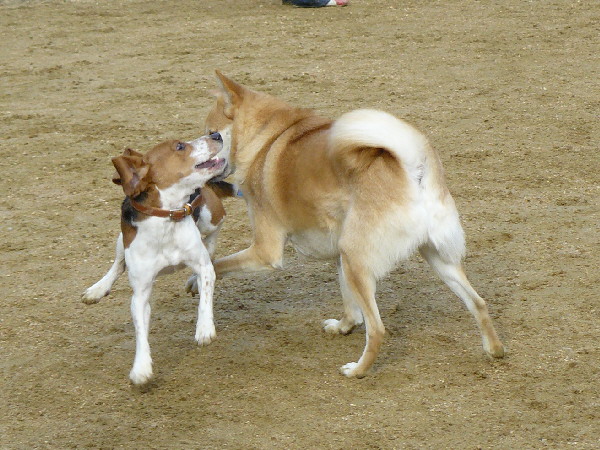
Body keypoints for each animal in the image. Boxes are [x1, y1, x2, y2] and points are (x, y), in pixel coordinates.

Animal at [82, 134, 229, 385]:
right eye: (179, 146)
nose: (216, 134)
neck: (167, 219)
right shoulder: (140, 294)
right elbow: (141, 331)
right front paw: (141, 368)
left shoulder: (204, 267)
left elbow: (205, 295)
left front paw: (204, 328)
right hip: (122, 238)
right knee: (118, 264)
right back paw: (98, 289)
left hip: (211, 217)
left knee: (212, 237)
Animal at [197, 71, 505, 378]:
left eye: (213, 133)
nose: (202, 145)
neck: (267, 136)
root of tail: (412, 169)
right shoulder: (338, 254)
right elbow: (348, 301)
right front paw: (344, 326)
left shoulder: (265, 252)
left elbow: (217, 265)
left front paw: (194, 284)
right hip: (432, 258)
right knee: (479, 302)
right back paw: (494, 350)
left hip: (357, 259)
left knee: (378, 330)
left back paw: (357, 370)